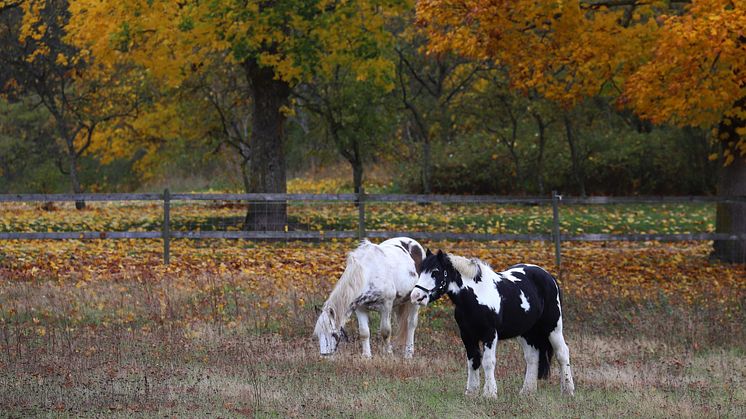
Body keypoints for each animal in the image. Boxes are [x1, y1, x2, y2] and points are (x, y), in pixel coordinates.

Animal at [406, 251, 576, 398]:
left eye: (436, 271)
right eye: (421, 271)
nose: (416, 296)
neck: (476, 296)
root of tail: (549, 276)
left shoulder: (490, 333)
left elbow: (488, 361)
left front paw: (489, 394)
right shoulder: (467, 335)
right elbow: (473, 361)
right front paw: (471, 392)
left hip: (553, 328)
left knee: (562, 352)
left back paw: (568, 390)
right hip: (526, 333)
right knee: (532, 357)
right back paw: (527, 392)